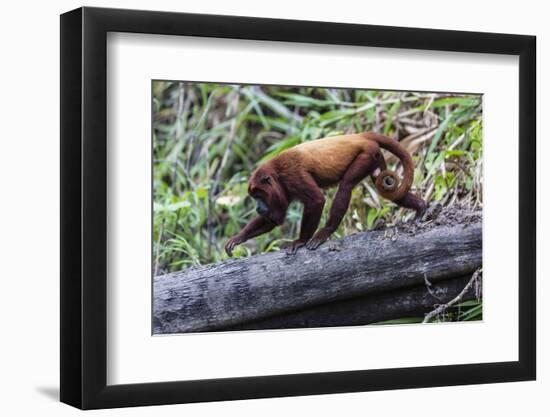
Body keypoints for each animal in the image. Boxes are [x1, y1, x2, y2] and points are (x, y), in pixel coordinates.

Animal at [226, 130, 430, 255]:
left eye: (259, 196)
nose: (258, 208)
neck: (276, 173)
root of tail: (360, 136)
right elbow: (274, 219)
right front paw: (238, 238)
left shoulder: (292, 176)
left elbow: (316, 200)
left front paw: (301, 240)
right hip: (375, 156)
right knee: (386, 189)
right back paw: (421, 208)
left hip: (366, 154)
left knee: (346, 185)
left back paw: (325, 231)